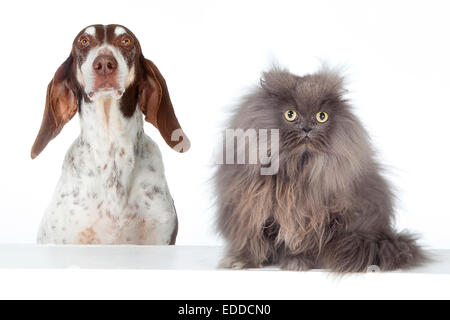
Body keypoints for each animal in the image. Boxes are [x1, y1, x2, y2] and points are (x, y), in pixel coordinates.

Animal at [216, 66, 428, 272]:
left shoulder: (315, 216)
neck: (296, 168)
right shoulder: (250, 208)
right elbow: (252, 240)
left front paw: (297, 262)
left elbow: (304, 243)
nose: (307, 128)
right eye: (290, 114)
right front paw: (241, 261)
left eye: (321, 116)